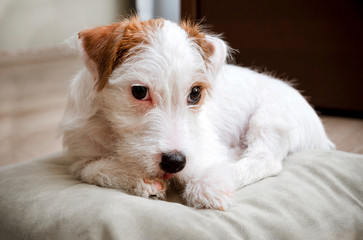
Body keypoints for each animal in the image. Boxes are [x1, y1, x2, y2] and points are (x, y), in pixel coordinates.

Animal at [59, 15, 336, 210]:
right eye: (139, 91)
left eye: (194, 93)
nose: (174, 162)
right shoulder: (81, 155)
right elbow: (93, 169)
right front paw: (139, 178)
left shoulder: (204, 145)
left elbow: (207, 162)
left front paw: (206, 184)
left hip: (268, 119)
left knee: (265, 159)